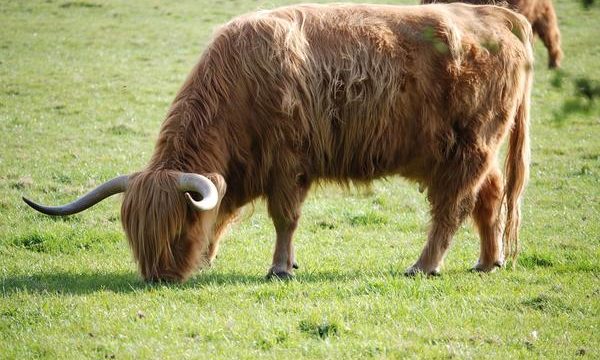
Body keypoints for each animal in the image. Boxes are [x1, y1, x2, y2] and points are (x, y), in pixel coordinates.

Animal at [22, 4, 536, 282]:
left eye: (175, 228)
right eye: (135, 235)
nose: (159, 277)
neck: (238, 83)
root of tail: (495, 14)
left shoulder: (289, 163)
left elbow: (283, 218)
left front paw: (280, 268)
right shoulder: (240, 169)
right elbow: (222, 211)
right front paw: (208, 259)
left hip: (467, 148)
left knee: (452, 208)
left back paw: (423, 265)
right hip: (476, 152)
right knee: (489, 199)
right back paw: (489, 262)